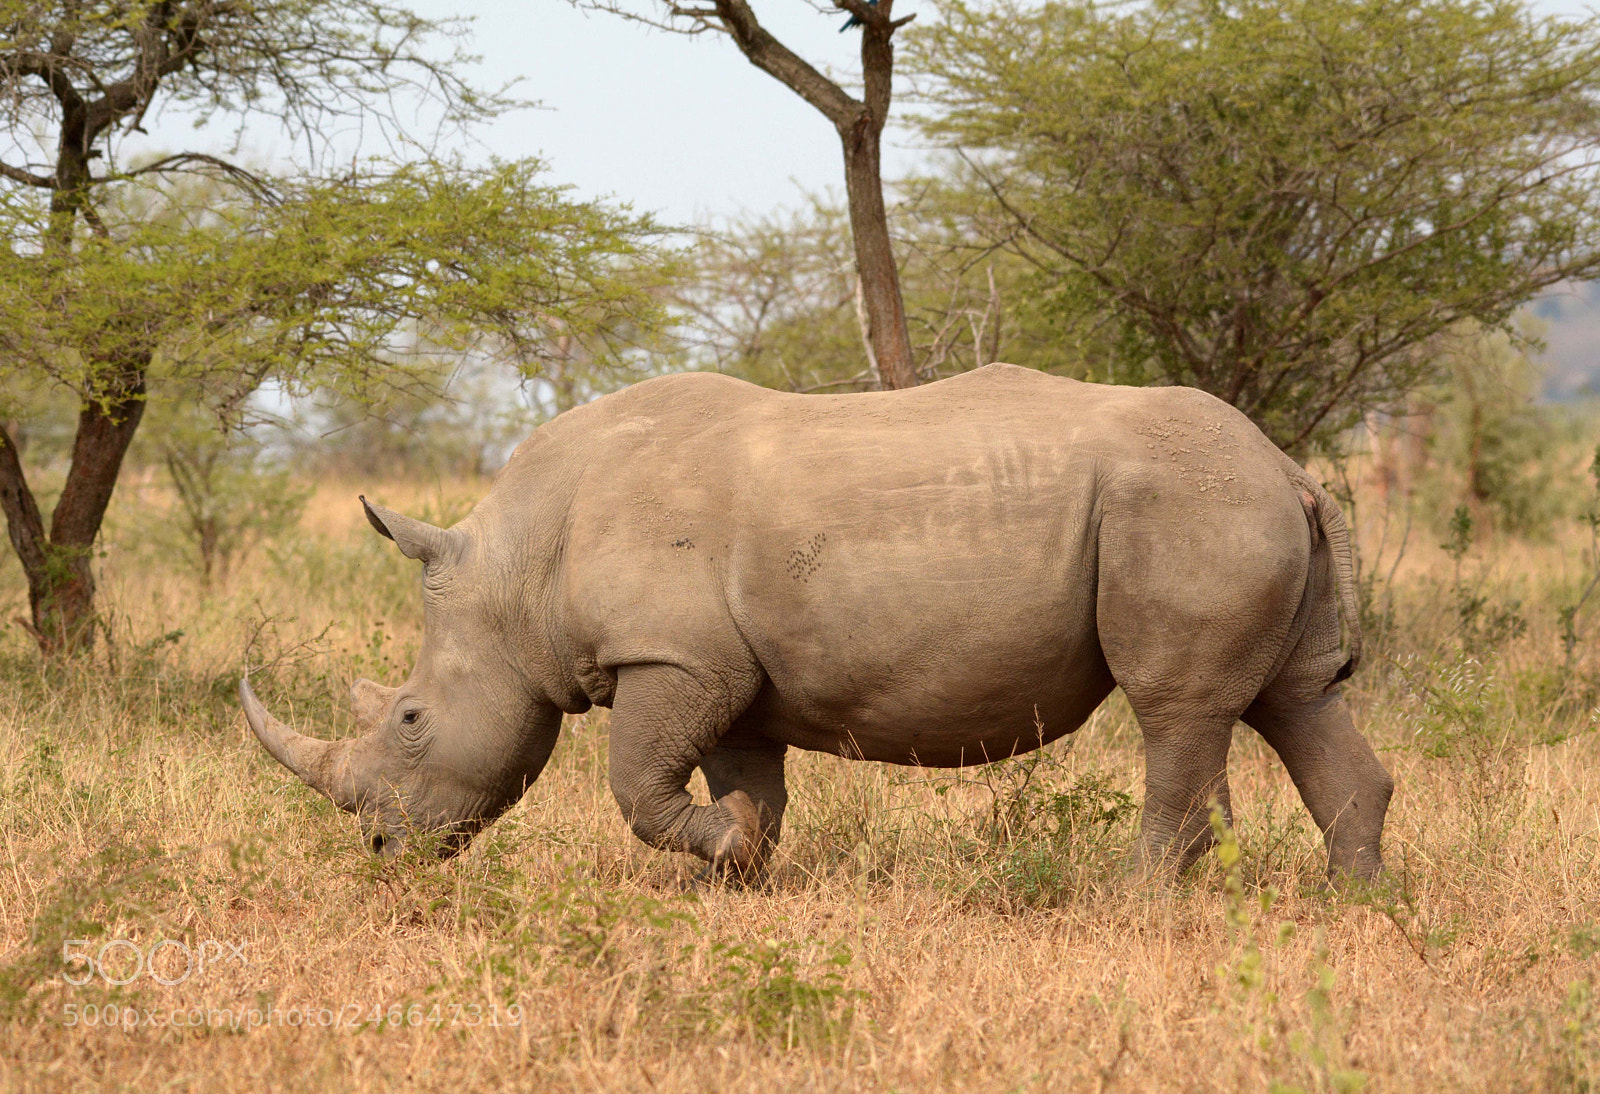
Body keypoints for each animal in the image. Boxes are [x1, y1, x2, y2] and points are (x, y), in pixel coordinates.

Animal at [241, 363, 1392, 883]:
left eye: (409, 719)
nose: (381, 847)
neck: (517, 567)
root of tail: (1288, 466)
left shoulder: (670, 656)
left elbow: (634, 785)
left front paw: (716, 852)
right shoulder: (723, 667)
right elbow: (746, 778)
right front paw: (740, 866)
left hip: (1191, 508)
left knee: (1179, 709)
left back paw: (1135, 901)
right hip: (1237, 508)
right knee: (1295, 701)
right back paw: (1347, 901)